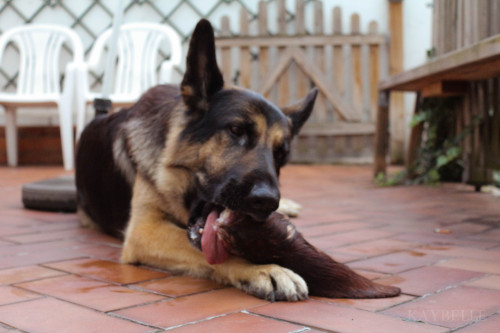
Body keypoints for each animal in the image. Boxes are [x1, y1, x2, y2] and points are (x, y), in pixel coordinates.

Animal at [76, 20, 400, 300]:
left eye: (281, 154)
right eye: (236, 131)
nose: (267, 201)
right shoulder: (144, 231)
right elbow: (213, 251)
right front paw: (264, 269)